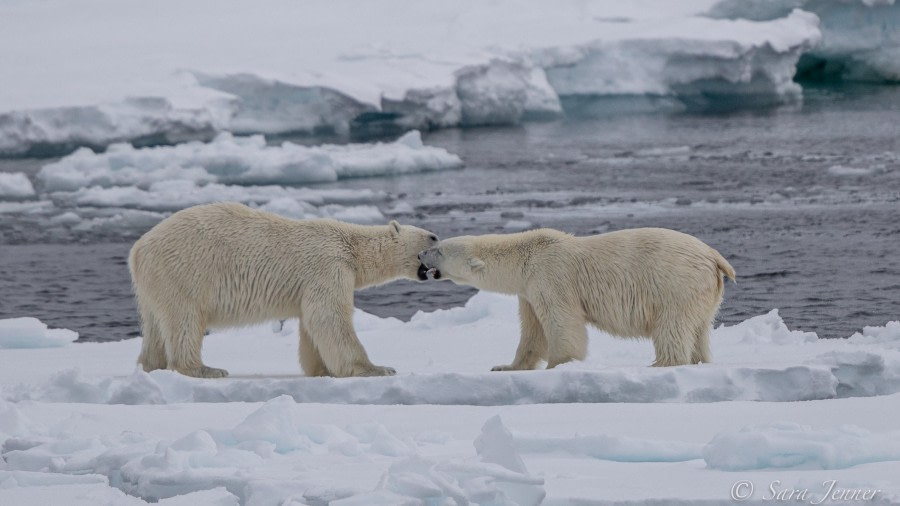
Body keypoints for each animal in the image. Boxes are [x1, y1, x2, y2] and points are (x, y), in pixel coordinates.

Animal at [130, 201, 440, 376]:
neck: (351, 247)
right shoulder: (328, 266)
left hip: (154, 283)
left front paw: (321, 370)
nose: (439, 239)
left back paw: (151, 365)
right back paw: (204, 369)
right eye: (432, 237)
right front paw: (378, 368)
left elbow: (311, 325)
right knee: (184, 320)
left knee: (155, 325)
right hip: (184, 272)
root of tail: (137, 249)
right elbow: (328, 317)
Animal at [418, 228, 736, 368]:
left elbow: (562, 322)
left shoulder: (550, 277)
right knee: (699, 329)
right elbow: (532, 332)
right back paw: (698, 360)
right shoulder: (528, 291)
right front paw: (505, 367)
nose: (420, 254)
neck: (526, 255)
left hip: (674, 284)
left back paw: (662, 363)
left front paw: (559, 364)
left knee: (672, 326)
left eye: (440, 249)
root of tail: (714, 257)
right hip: (703, 293)